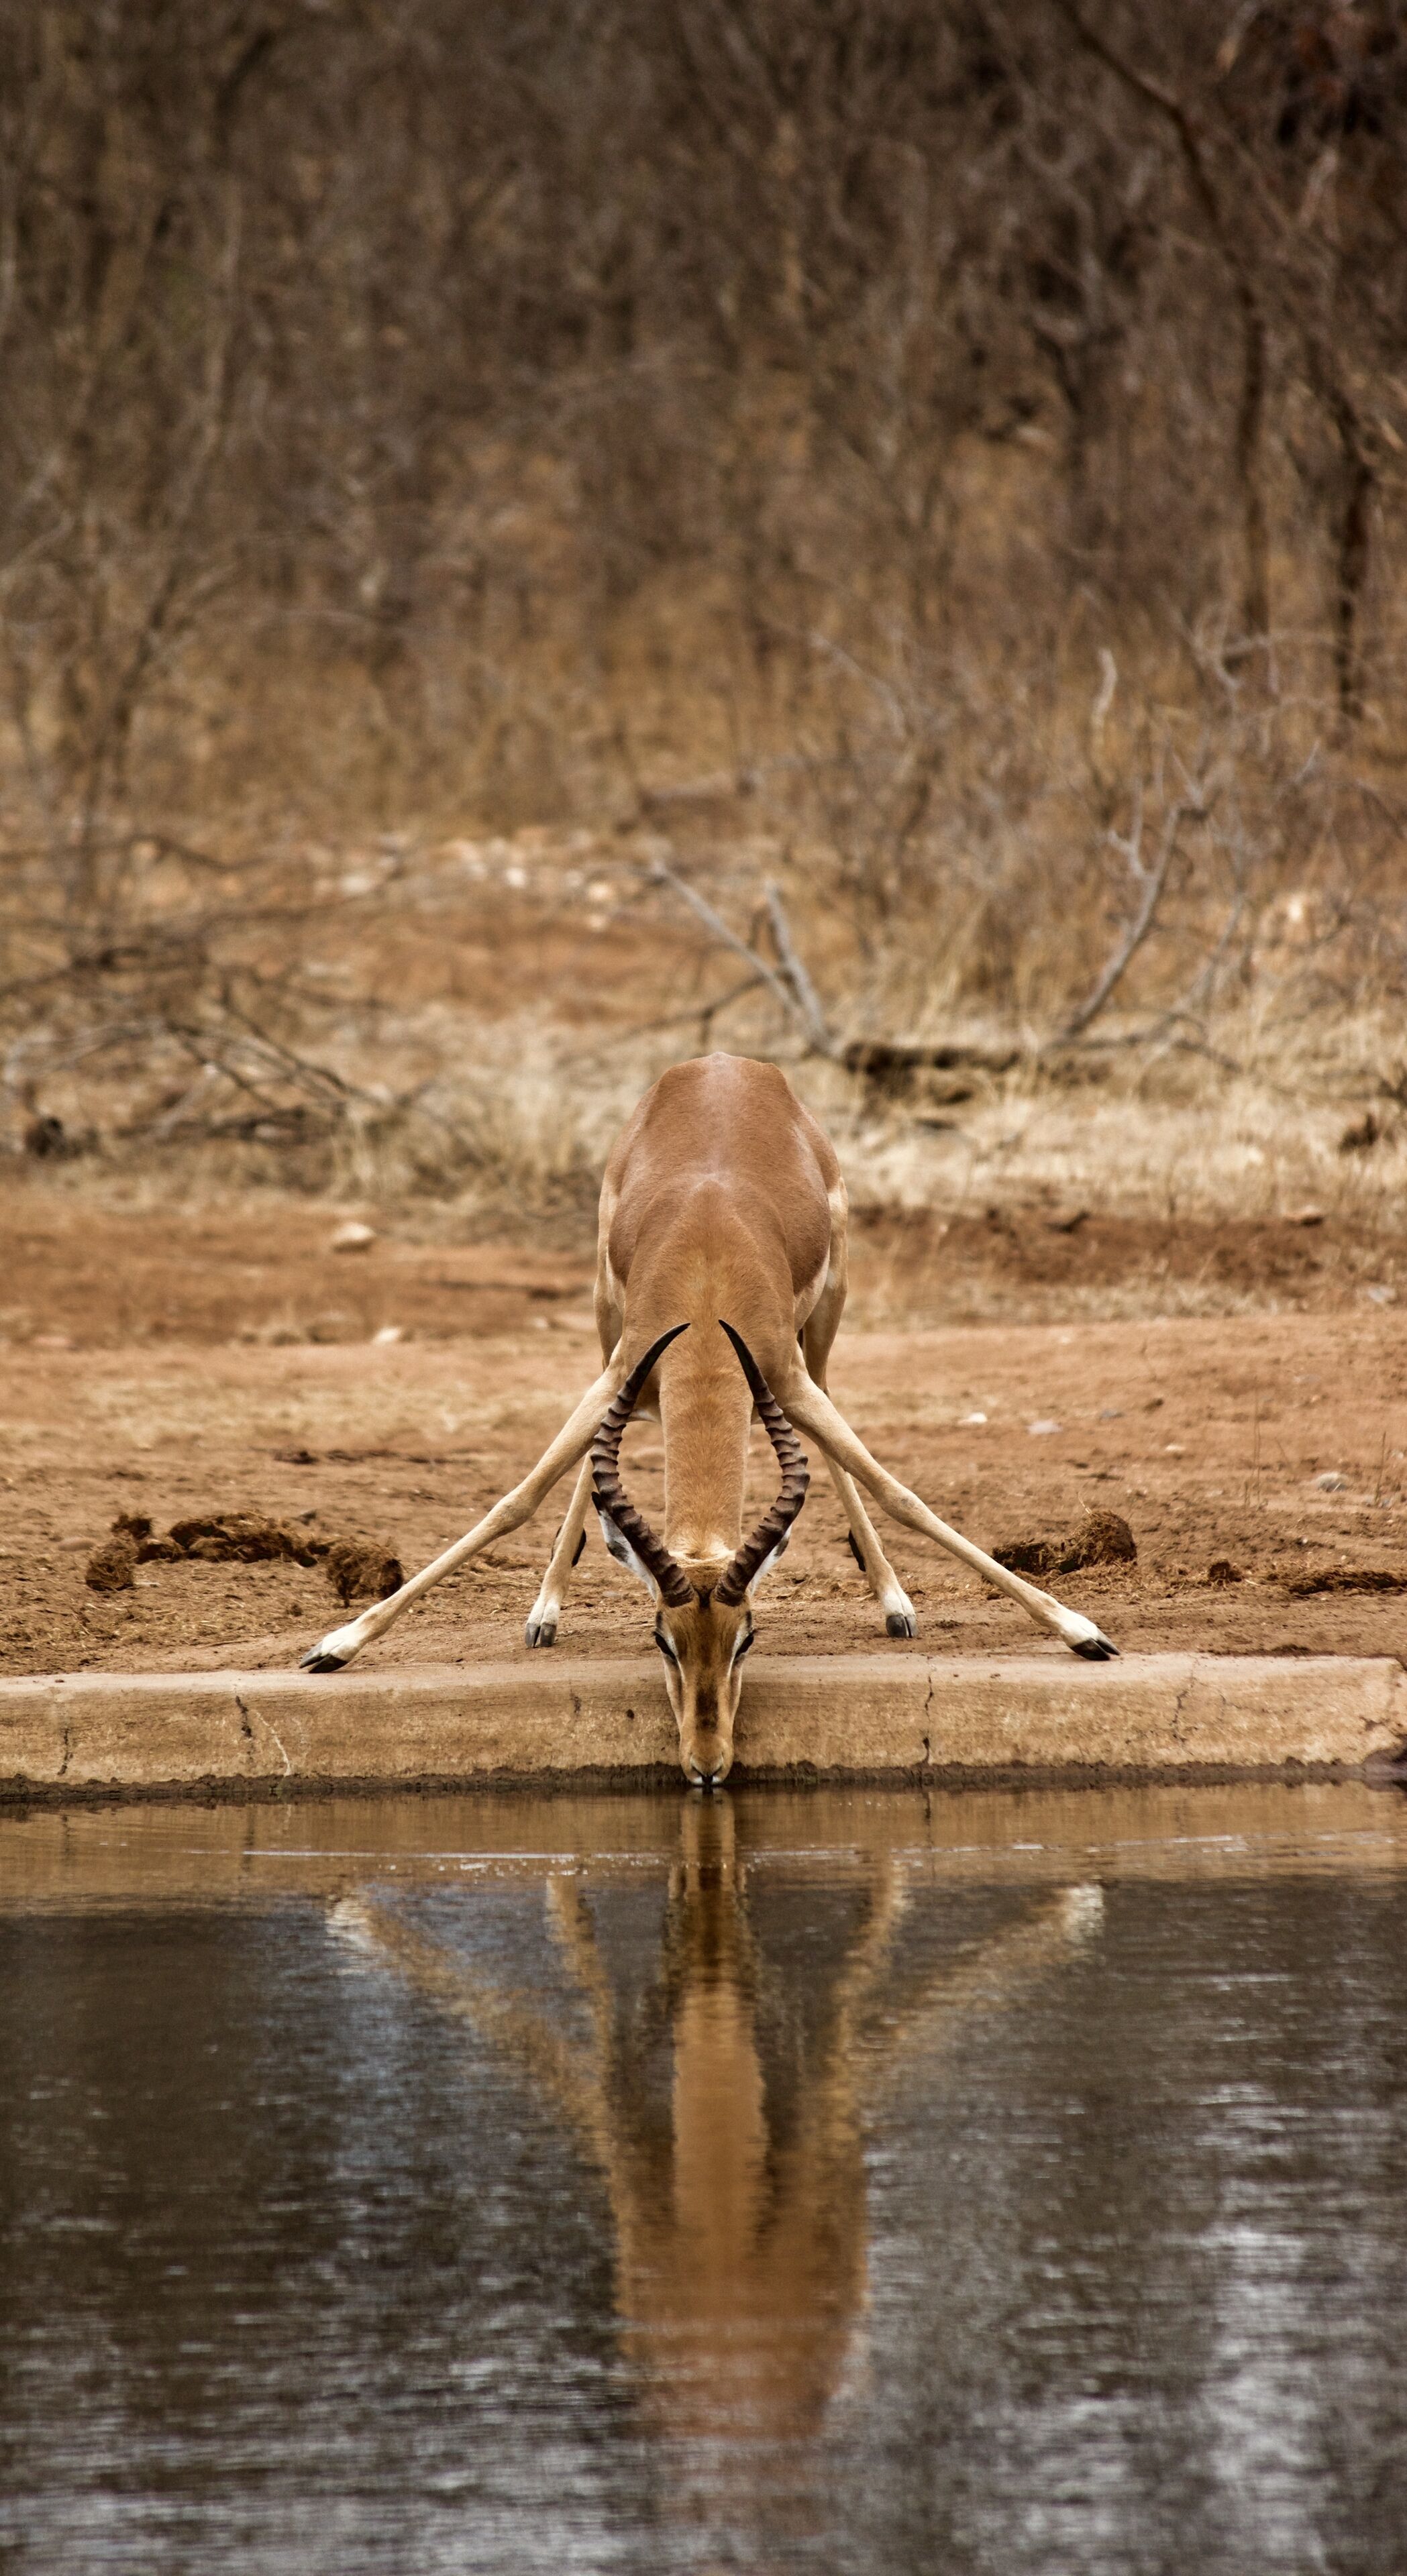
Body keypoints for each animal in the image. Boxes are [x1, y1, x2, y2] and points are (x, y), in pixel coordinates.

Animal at [300, 1052, 1117, 1781]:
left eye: (747, 1637)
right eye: (662, 1638)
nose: (706, 1766)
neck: (705, 1285)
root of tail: (724, 1061)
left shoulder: (786, 1378)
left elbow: (900, 1493)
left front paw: (1083, 1633)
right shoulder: (622, 1370)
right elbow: (515, 1500)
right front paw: (336, 1645)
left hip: (824, 1327)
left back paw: (895, 1604)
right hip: (604, 1317)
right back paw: (544, 1616)